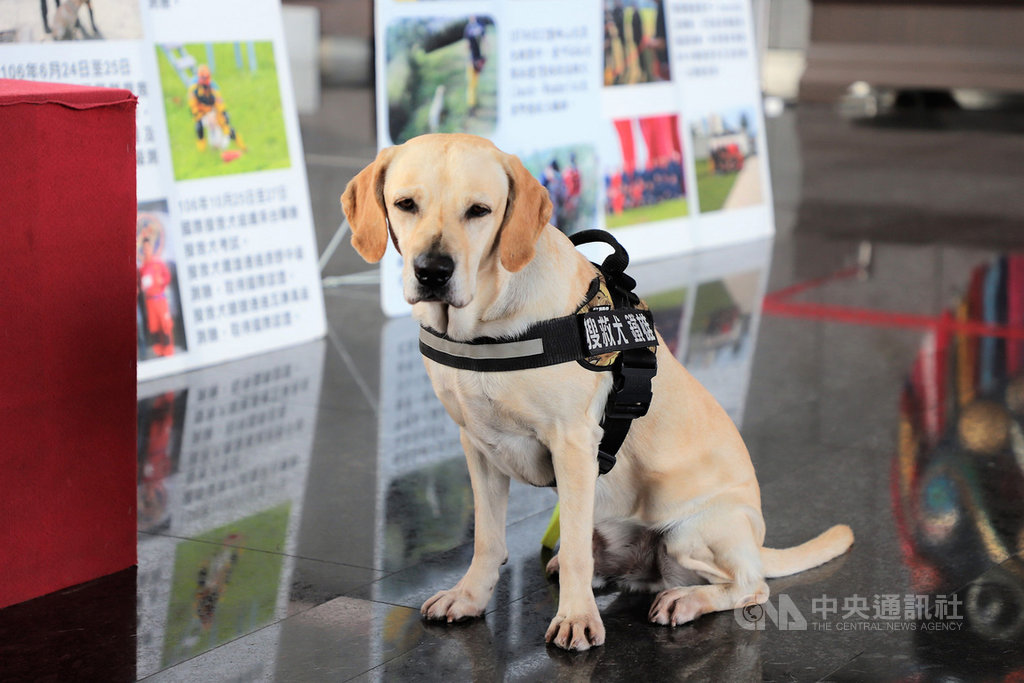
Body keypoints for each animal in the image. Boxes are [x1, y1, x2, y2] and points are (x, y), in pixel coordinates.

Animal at [339, 133, 851, 651]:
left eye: (479, 211)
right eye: (405, 204)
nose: (432, 272)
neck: (484, 327)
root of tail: (757, 542)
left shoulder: (572, 444)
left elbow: (573, 555)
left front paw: (576, 618)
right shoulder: (478, 446)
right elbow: (488, 539)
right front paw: (469, 597)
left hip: (693, 532)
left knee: (749, 585)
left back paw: (686, 600)